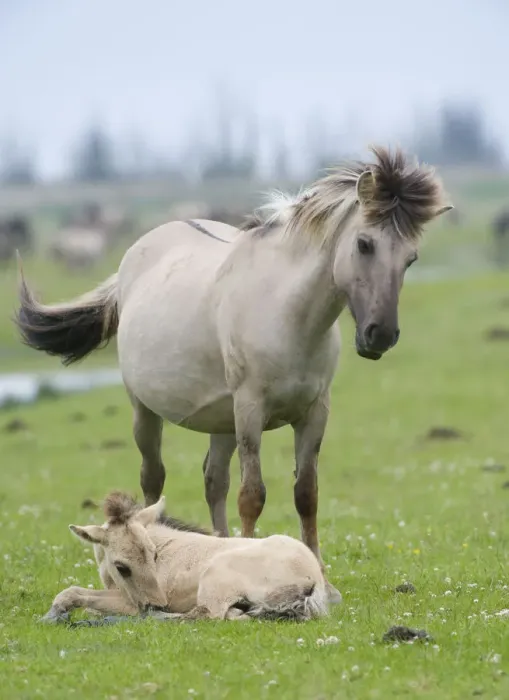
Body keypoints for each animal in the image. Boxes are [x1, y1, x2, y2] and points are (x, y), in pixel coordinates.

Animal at [15, 146, 452, 604]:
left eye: (411, 258)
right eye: (365, 244)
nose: (380, 334)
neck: (286, 312)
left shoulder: (314, 413)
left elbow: (306, 494)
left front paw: (325, 583)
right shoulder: (250, 410)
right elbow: (252, 495)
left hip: (221, 422)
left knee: (214, 481)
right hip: (147, 413)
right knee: (154, 481)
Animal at [42, 491, 329, 624]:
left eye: (154, 554)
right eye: (122, 567)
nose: (157, 604)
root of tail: (313, 577)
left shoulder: (131, 602)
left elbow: (73, 593)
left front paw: (53, 615)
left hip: (214, 578)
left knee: (205, 614)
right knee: (235, 615)